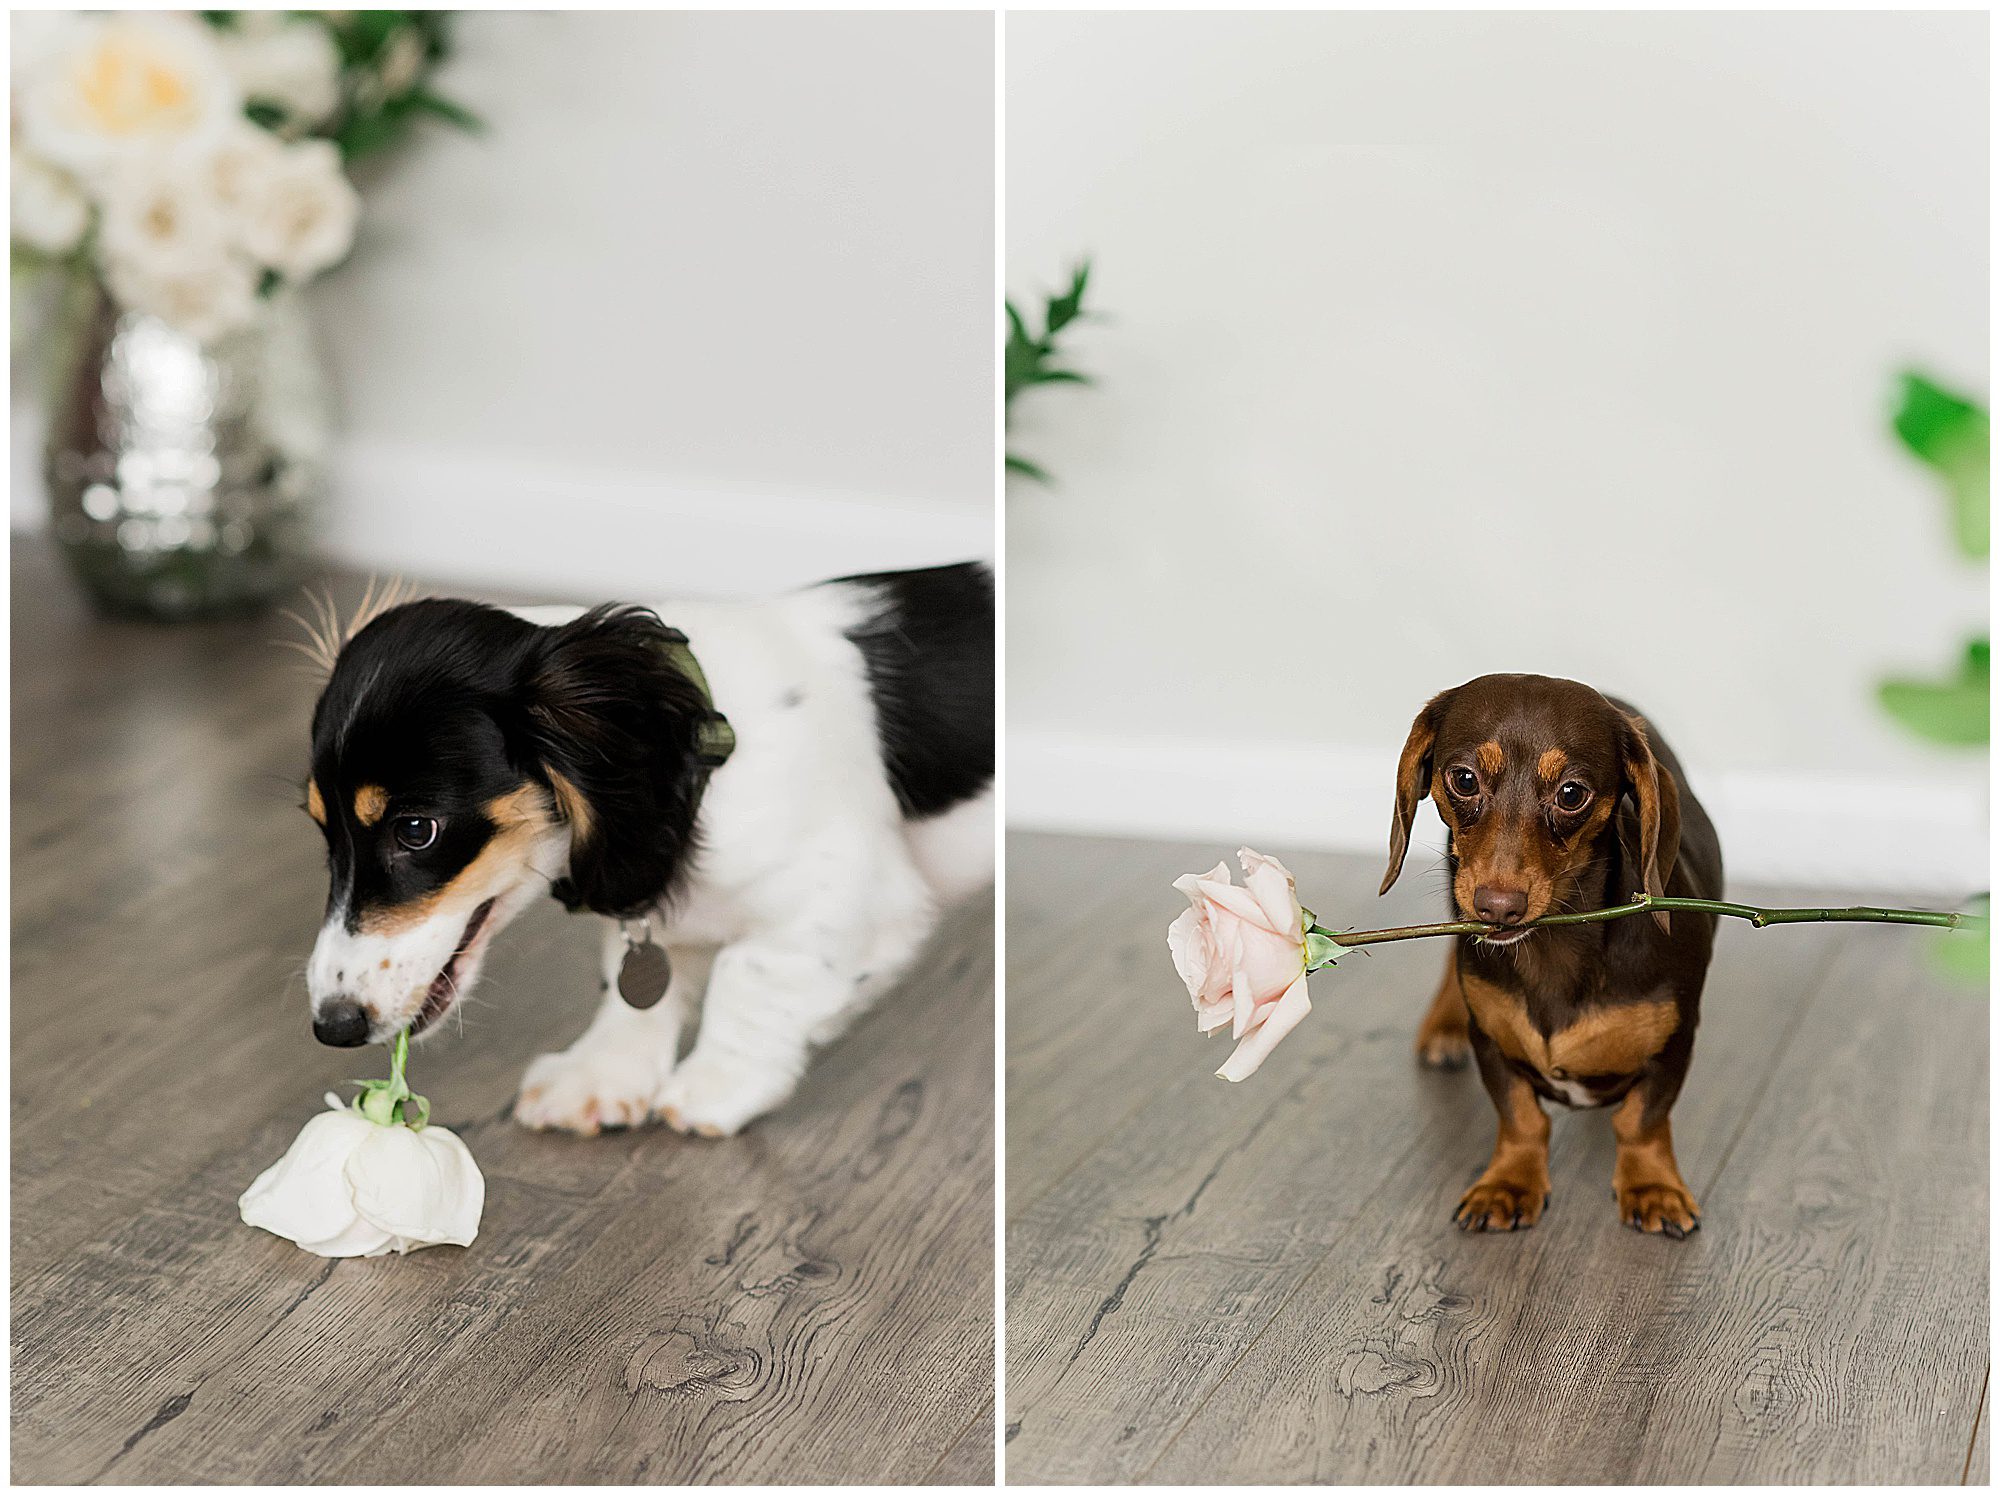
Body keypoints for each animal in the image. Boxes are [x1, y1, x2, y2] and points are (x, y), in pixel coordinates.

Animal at [292, 560, 996, 1136]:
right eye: (323, 830)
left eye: (416, 831)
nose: (332, 1027)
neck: (705, 753)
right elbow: (634, 979)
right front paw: (604, 1071)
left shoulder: (853, 891)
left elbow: (751, 972)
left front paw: (718, 1085)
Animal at [1384, 676, 1728, 1240]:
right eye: (1463, 779)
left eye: (1571, 793)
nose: (1498, 907)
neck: (1555, 953)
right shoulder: (1491, 1043)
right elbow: (1522, 1118)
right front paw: (1508, 1184)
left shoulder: (1675, 1045)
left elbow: (1642, 1121)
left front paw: (1653, 1188)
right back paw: (1443, 1026)